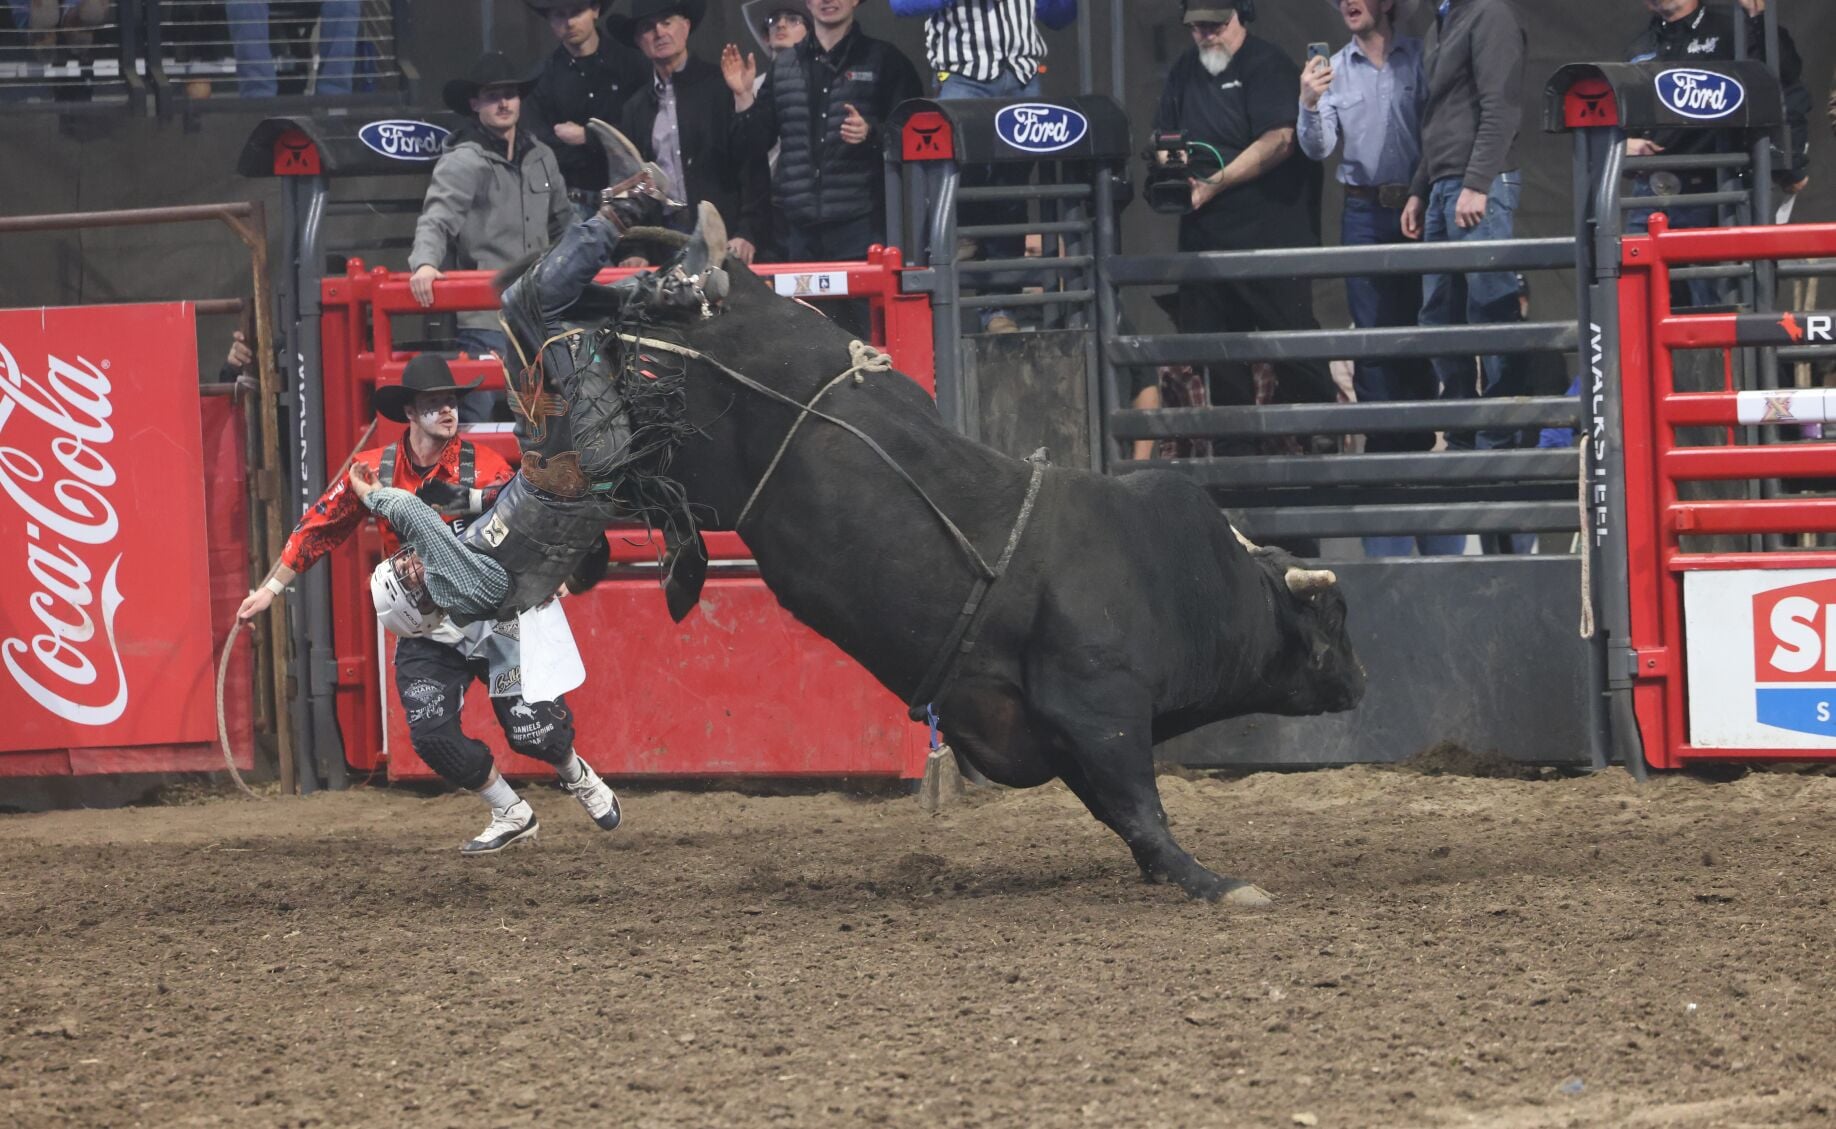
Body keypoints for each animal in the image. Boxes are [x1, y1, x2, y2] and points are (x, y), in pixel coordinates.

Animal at [594, 227, 1366, 903]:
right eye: (1334, 616)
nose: (1362, 681)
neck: (1191, 582)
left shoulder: (1062, 734)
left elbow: (1120, 813)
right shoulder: (1101, 706)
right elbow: (1140, 804)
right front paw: (1215, 882)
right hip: (700, 432)